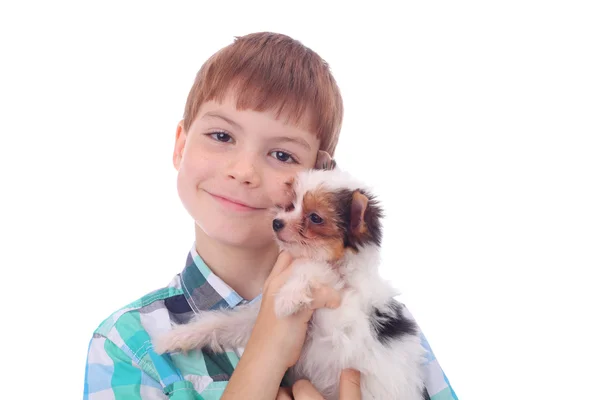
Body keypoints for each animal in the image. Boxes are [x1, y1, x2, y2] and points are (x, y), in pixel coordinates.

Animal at [154, 164, 426, 398]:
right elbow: (222, 322)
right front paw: (176, 337)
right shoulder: (255, 321)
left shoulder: (342, 314)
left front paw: (288, 298)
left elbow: (312, 268)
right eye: (292, 204)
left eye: (315, 218)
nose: (276, 222)